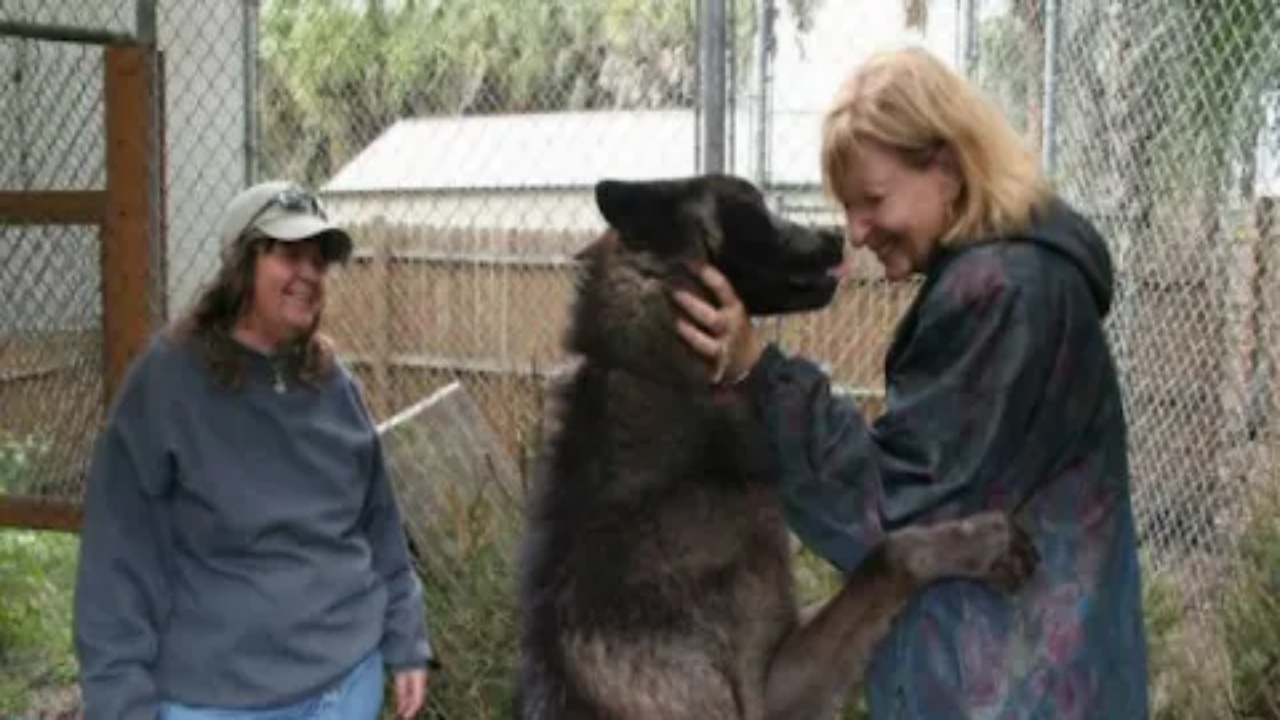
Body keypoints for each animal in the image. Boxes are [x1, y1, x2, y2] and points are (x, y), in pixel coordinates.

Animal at [512, 175, 1039, 717]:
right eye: (750, 204)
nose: (836, 234)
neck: (667, 379)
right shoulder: (770, 692)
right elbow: (890, 553)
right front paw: (986, 543)